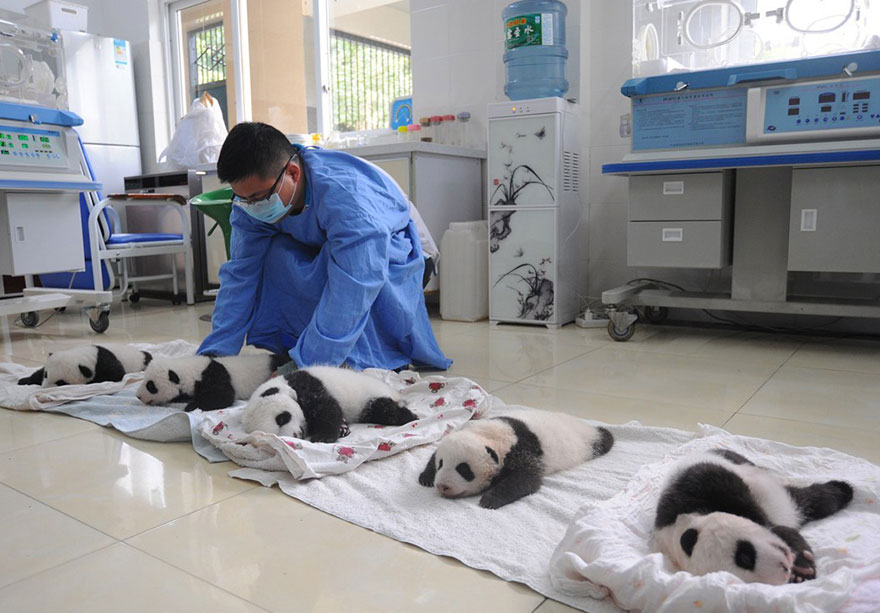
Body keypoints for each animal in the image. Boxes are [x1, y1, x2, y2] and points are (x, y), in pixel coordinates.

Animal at [17, 344, 153, 387]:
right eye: (46, 375)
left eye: (61, 383)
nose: (44, 387)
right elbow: (38, 372)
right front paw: (23, 380)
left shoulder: (104, 363)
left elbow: (116, 373)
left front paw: (92, 382)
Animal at [241, 366, 418, 443]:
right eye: (276, 434)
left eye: (282, 418)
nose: (297, 435)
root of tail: (395, 394)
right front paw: (341, 429)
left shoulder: (308, 386)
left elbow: (327, 409)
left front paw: (323, 437)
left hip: (370, 396)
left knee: (384, 409)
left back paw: (410, 416)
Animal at [418, 411, 614, 509]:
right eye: (441, 464)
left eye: (464, 469)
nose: (443, 486)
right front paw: (426, 477)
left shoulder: (521, 450)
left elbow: (526, 478)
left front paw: (489, 500)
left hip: (586, 443)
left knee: (601, 440)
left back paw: (608, 436)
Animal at [653, 448, 854, 585]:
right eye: (748, 573)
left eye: (745, 556)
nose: (784, 567)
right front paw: (799, 572)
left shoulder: (698, 486)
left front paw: (801, 562)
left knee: (805, 499)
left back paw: (842, 489)